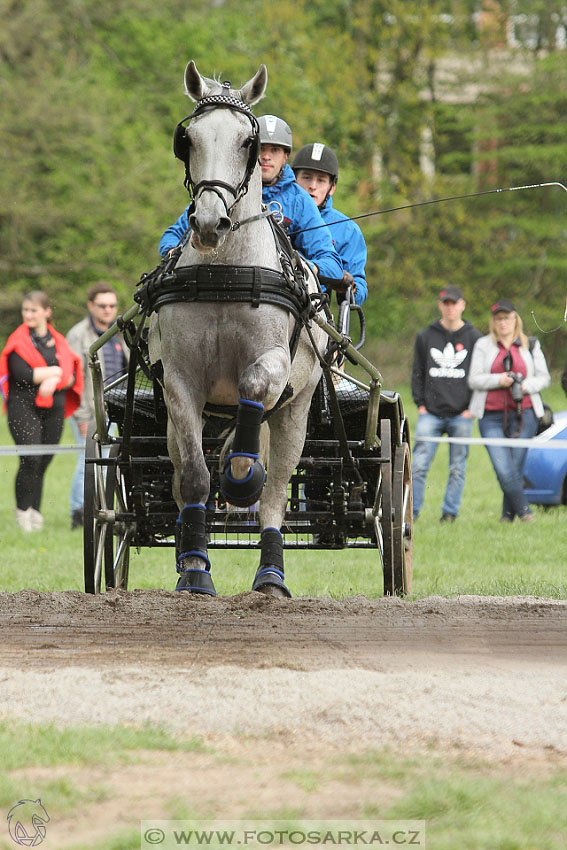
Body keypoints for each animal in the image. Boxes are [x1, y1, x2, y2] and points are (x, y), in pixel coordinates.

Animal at [149, 63, 326, 596]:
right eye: (187, 139)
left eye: (248, 142)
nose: (209, 221)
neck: (225, 271)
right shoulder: (181, 383)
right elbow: (193, 477)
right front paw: (193, 571)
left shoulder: (273, 364)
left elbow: (252, 390)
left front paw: (240, 477)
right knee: (183, 476)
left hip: (297, 411)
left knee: (275, 492)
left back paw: (270, 573)